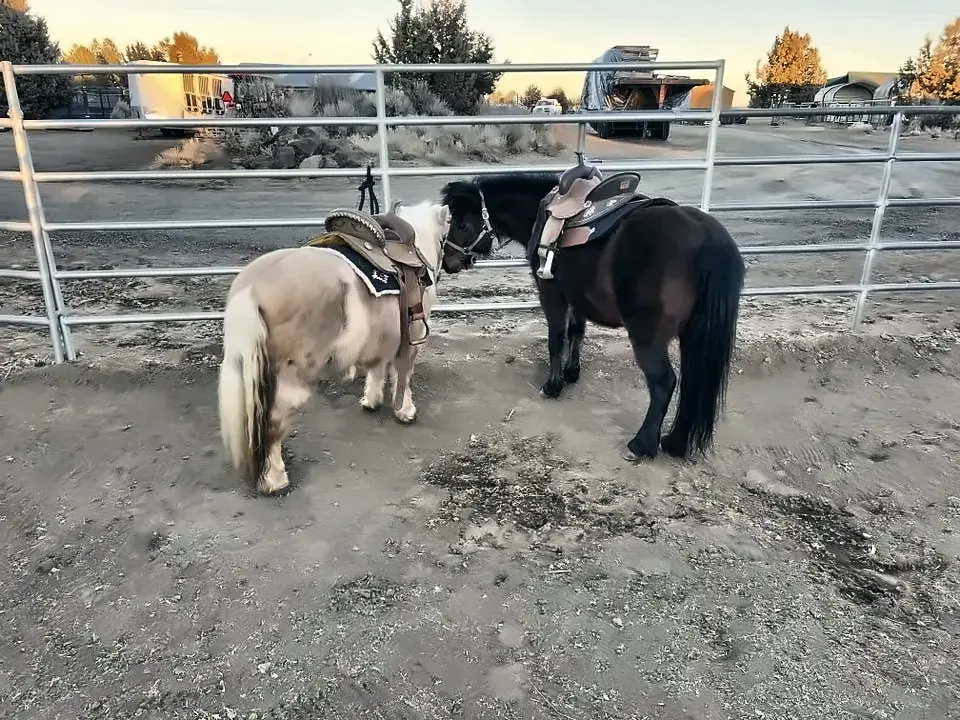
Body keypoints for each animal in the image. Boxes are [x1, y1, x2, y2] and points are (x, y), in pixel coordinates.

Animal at [217, 200, 451, 495]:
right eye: (446, 238)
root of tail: (253, 285)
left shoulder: (383, 339)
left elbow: (378, 367)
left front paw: (371, 400)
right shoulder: (412, 338)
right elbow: (403, 375)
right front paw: (405, 411)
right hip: (293, 376)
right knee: (274, 423)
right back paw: (275, 479)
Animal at [439, 169, 745, 463]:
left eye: (462, 225)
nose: (448, 263)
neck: (544, 215)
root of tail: (706, 237)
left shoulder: (552, 293)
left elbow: (556, 338)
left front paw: (552, 386)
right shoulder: (577, 296)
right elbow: (576, 331)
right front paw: (571, 373)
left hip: (648, 338)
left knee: (663, 382)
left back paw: (641, 445)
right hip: (693, 335)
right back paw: (674, 442)